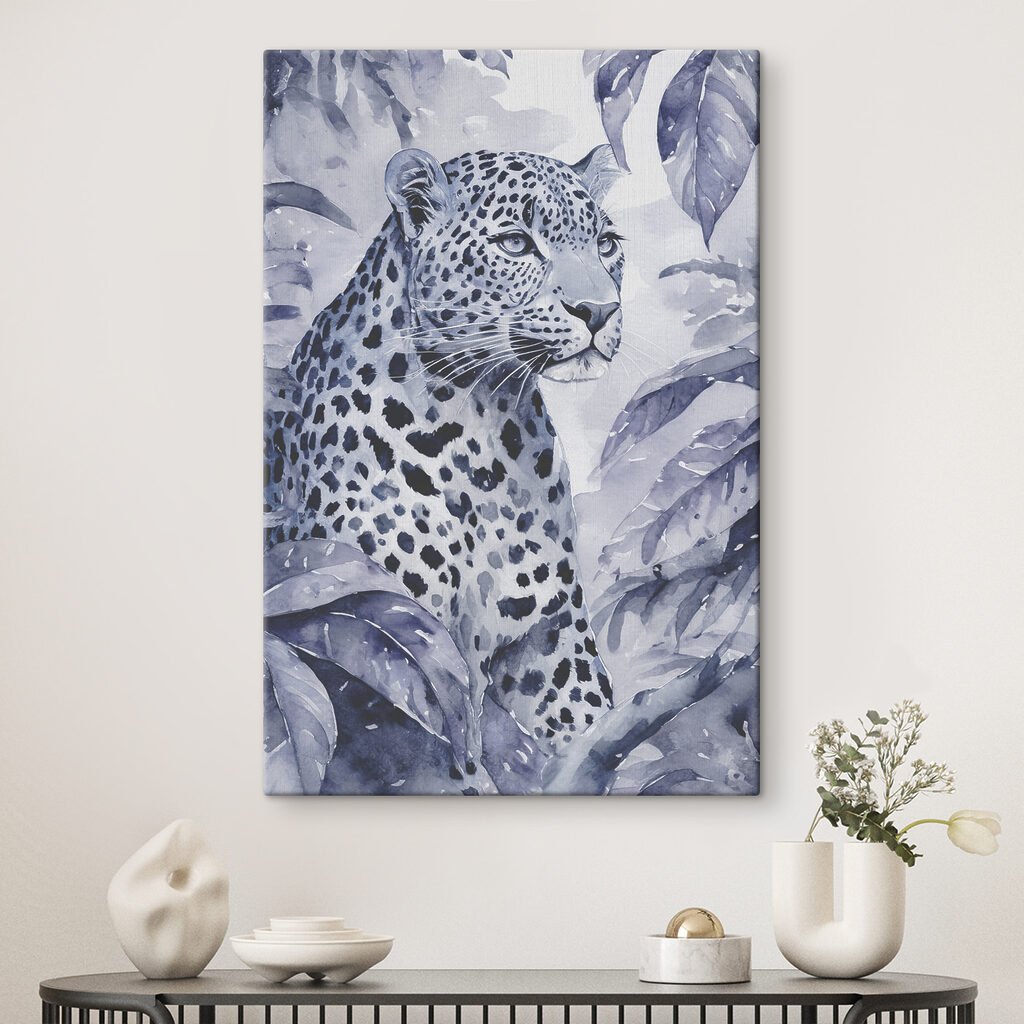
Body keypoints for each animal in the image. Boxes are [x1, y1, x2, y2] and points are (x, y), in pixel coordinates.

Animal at [265, 145, 626, 792]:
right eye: (515, 243)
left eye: (606, 243)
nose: (599, 310)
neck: (483, 429)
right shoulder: (386, 632)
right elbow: (451, 760)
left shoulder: (551, 636)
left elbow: (586, 713)